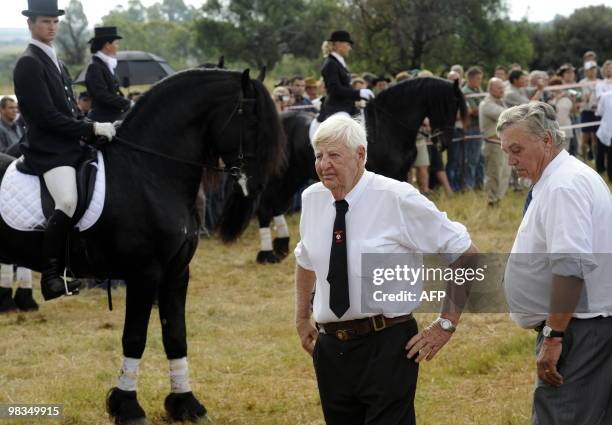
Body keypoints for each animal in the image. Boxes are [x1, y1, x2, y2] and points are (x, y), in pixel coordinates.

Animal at [0, 68, 284, 422]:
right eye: (252, 118)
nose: (257, 187)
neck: (149, 172)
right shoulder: (144, 274)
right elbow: (134, 338)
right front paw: (127, 406)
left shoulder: (177, 272)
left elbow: (176, 336)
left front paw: (186, 404)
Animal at [256, 76, 466, 262]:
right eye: (449, 104)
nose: (443, 143)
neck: (388, 126)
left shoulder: (401, 175)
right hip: (278, 176)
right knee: (266, 205)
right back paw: (266, 255)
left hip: (293, 176)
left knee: (276, 204)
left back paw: (281, 247)